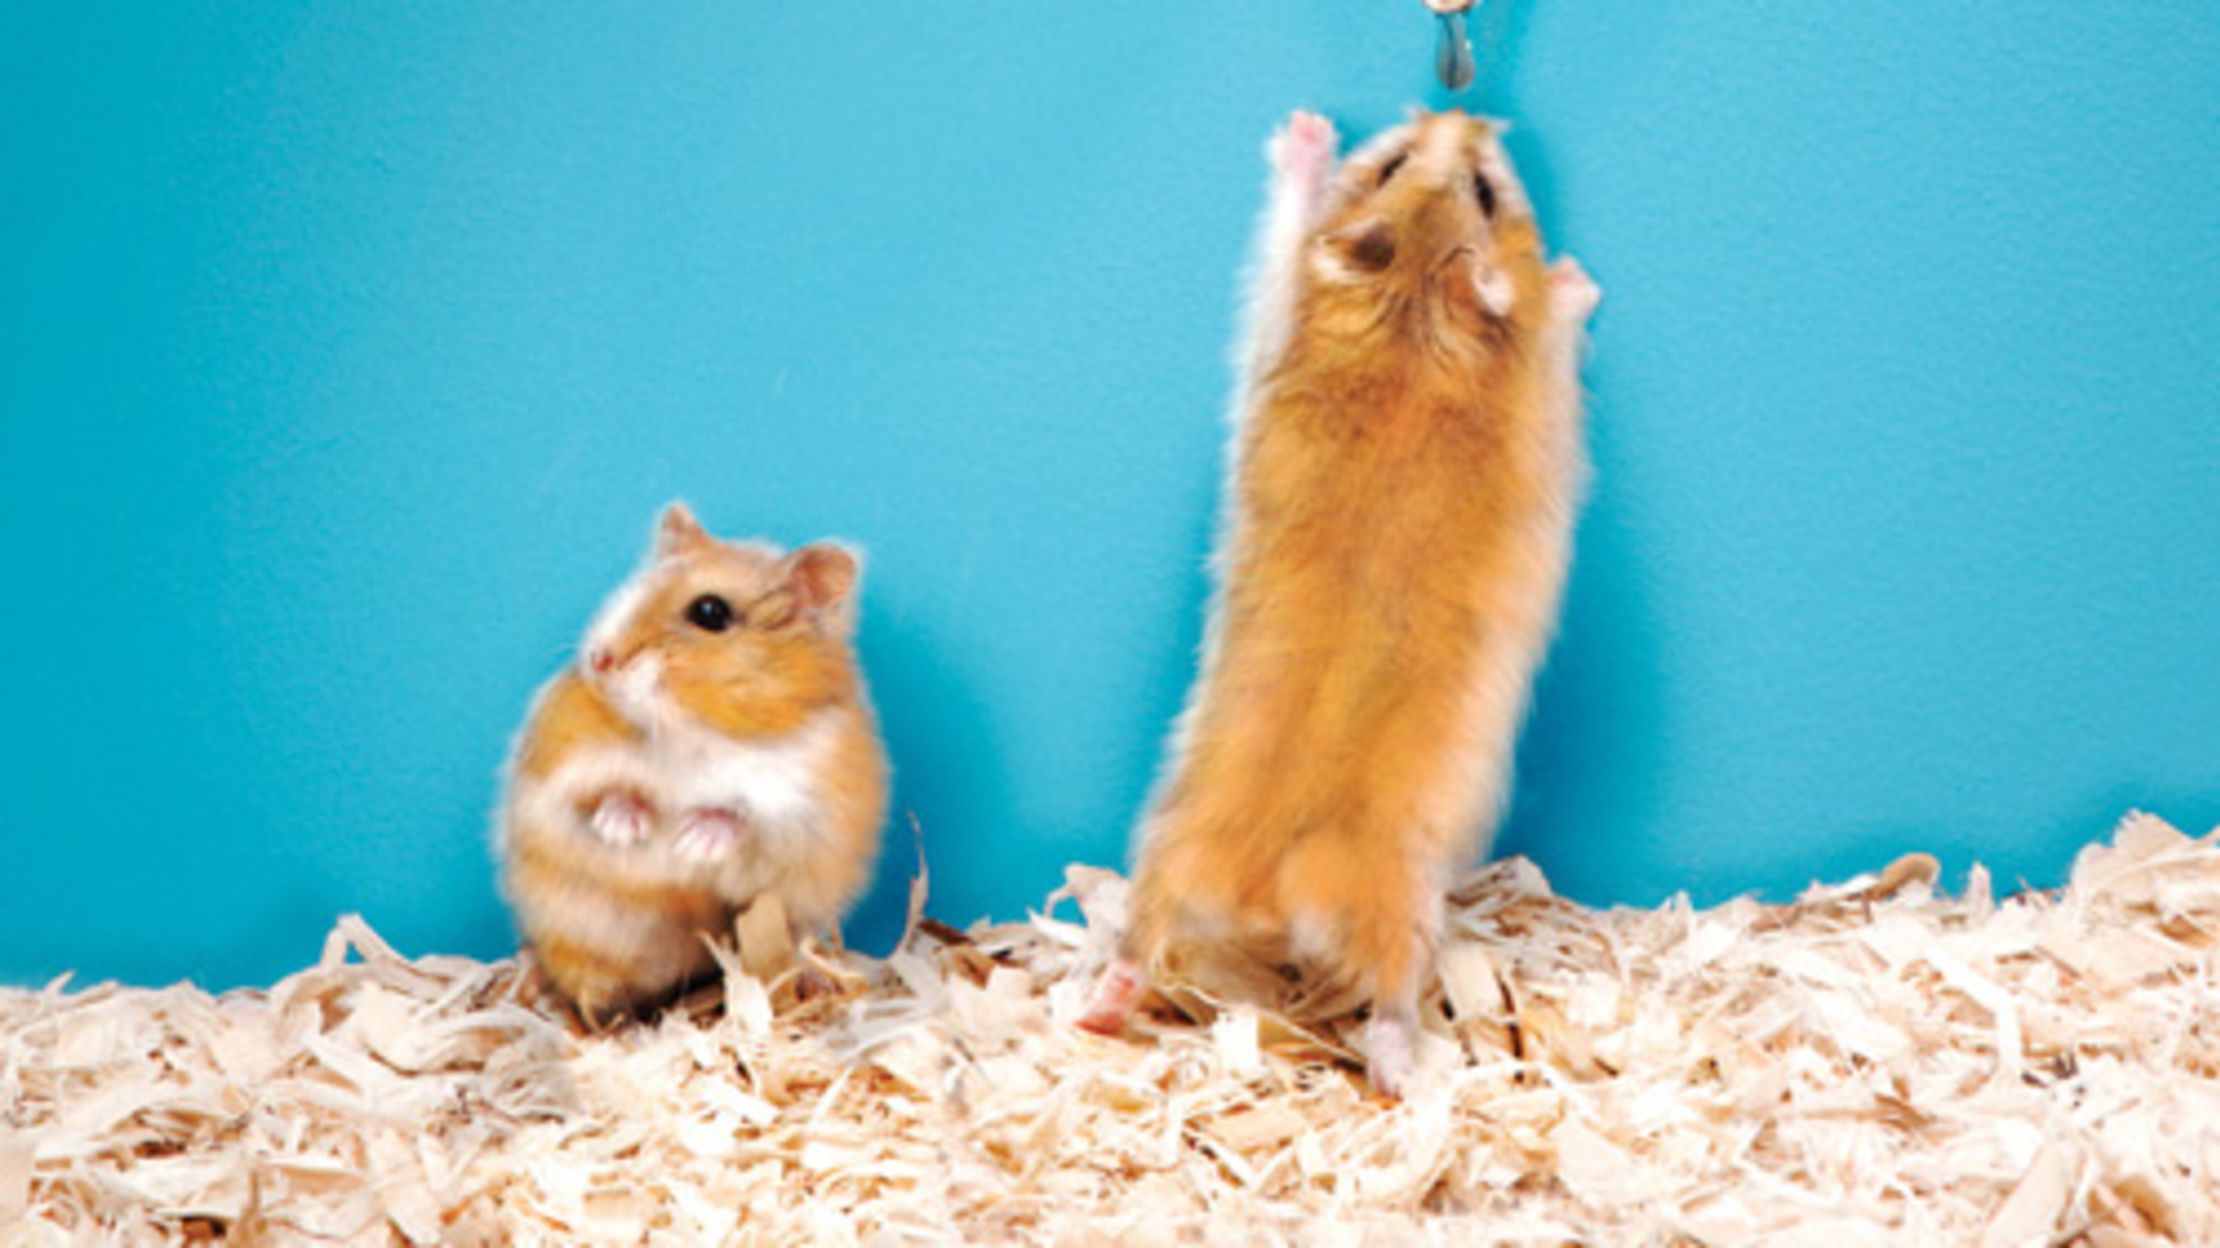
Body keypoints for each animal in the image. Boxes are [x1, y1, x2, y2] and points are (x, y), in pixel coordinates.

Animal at [497, 502, 890, 1020]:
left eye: (710, 612)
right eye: (636, 586)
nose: (599, 660)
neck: (690, 730)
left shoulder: (805, 814)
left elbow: (742, 819)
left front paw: (692, 839)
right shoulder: (553, 780)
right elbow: (602, 798)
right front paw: (629, 828)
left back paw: (815, 983)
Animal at [1079, 109, 1600, 1095]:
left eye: (1478, 183)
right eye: (1401, 163)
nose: (1462, 115)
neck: (1411, 314)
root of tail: (1271, 883)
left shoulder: (1283, 326)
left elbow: (1293, 240)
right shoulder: (1539, 393)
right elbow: (1550, 323)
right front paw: (1569, 278)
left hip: (1166, 843)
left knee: (1138, 941)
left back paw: (1098, 1010)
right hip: (1405, 905)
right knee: (1391, 999)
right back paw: (1407, 1075)